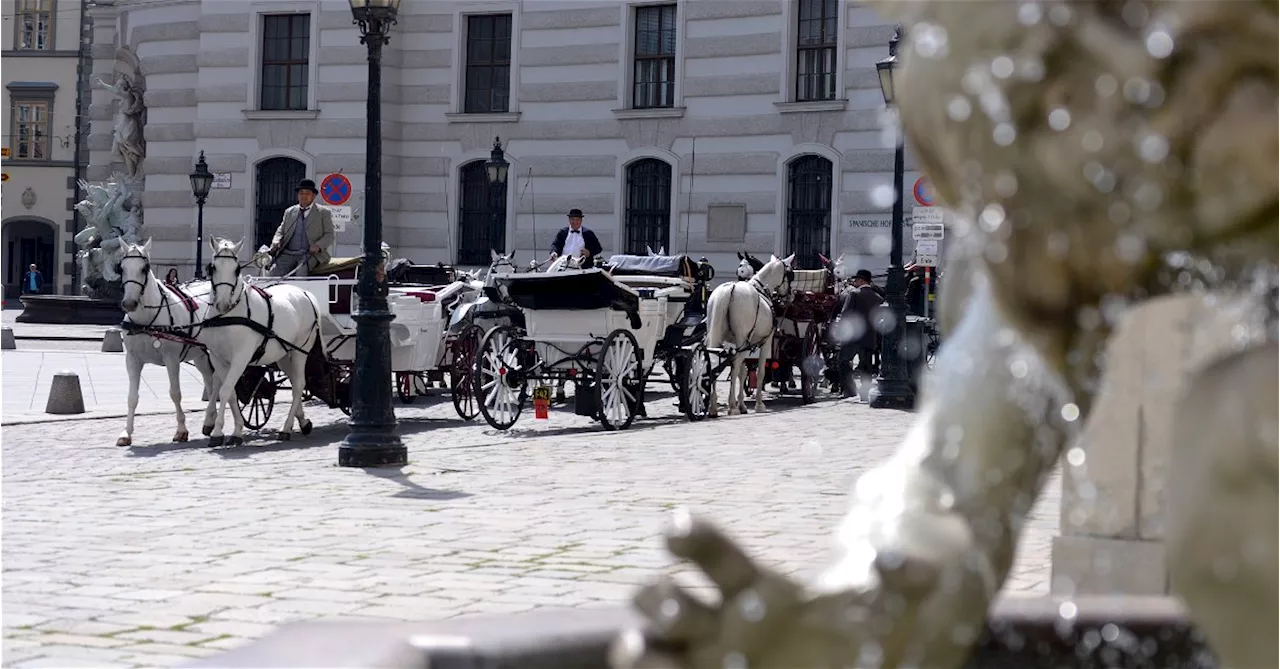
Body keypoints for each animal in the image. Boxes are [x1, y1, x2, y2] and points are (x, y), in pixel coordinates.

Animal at [116, 237, 221, 447]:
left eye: (145, 268)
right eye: (121, 268)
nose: (129, 303)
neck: (146, 320)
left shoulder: (171, 359)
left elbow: (175, 393)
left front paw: (181, 430)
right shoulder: (132, 359)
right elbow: (132, 397)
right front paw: (126, 432)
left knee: (218, 381)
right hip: (200, 355)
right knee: (210, 379)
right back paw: (210, 419)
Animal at [199, 236, 322, 445]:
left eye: (237, 270)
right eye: (212, 268)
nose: (222, 303)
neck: (228, 315)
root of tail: (306, 293)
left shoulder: (240, 358)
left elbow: (225, 390)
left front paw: (218, 432)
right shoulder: (218, 358)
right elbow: (229, 392)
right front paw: (237, 429)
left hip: (300, 350)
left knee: (298, 385)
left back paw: (286, 428)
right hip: (283, 354)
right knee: (294, 382)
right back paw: (302, 421)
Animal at [701, 255, 788, 417]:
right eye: (789, 272)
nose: (788, 294)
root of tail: (730, 289)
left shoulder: (744, 345)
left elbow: (742, 373)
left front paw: (742, 404)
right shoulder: (764, 342)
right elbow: (759, 372)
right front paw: (758, 404)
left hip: (718, 337)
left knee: (714, 363)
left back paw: (713, 407)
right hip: (742, 340)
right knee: (733, 366)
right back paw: (731, 406)